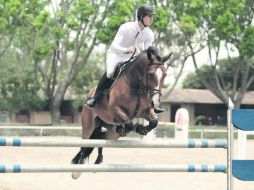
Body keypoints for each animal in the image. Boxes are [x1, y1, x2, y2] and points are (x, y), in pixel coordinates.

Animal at [70, 46, 172, 179]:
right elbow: (129, 123)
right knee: (85, 144)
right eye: (151, 74)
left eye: (165, 75)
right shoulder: (115, 109)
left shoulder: (144, 111)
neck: (136, 86)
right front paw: (134, 127)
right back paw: (78, 169)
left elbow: (154, 121)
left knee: (100, 138)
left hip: (111, 131)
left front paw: (141, 129)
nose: (156, 103)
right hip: (88, 125)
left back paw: (99, 160)